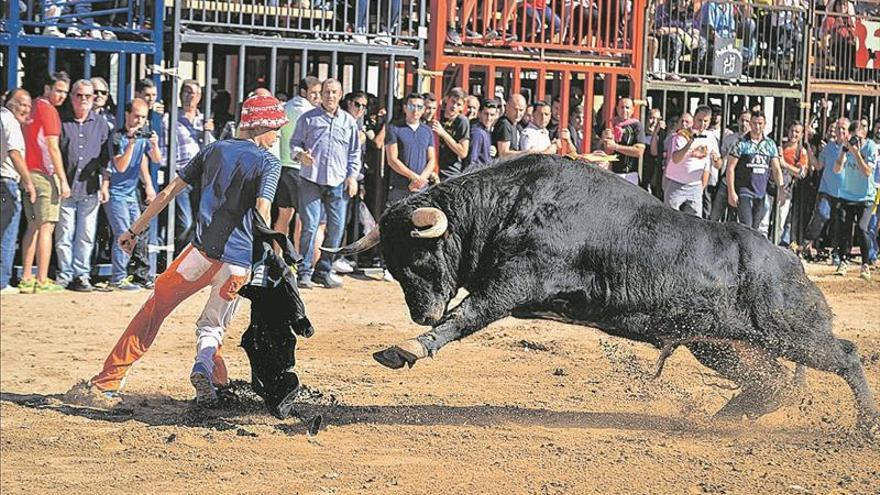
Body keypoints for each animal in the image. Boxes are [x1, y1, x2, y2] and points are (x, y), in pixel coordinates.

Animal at [330, 156, 880, 430]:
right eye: (393, 266)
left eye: (420, 257)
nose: (421, 315)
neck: (509, 202)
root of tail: (791, 262)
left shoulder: (514, 283)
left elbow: (466, 316)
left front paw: (407, 348)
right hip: (719, 345)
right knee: (774, 382)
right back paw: (729, 417)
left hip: (790, 333)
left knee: (846, 357)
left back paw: (863, 429)